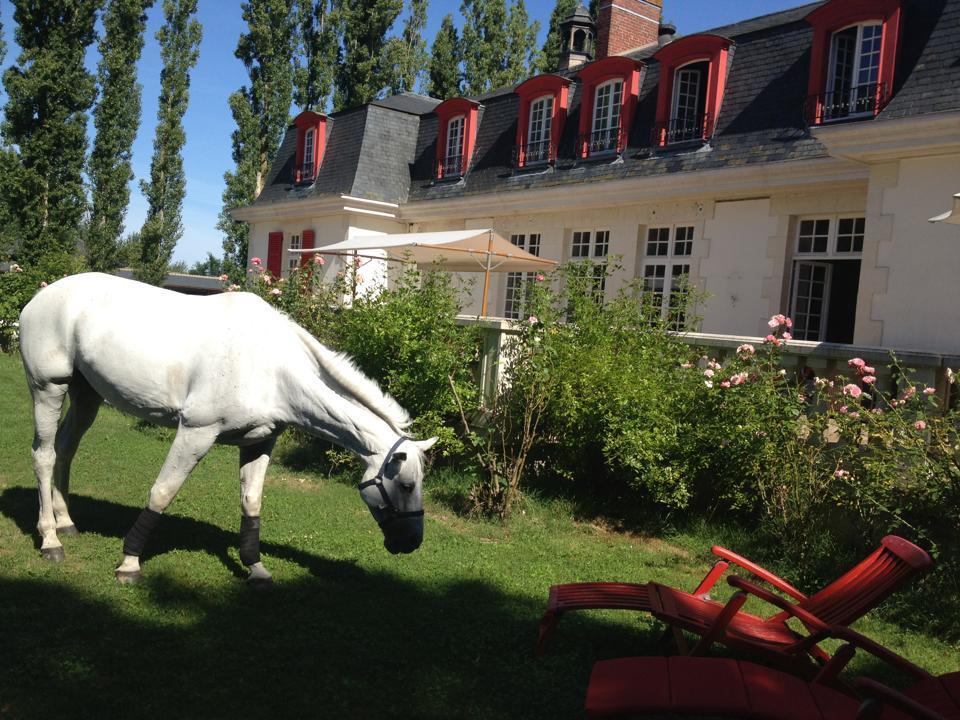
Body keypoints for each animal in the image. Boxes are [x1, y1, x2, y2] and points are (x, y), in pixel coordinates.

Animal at [18, 272, 438, 584]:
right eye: (406, 485)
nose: (412, 542)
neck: (272, 367)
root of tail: (38, 299)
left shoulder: (259, 443)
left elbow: (251, 502)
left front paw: (256, 568)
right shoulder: (195, 433)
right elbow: (162, 492)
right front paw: (129, 563)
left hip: (86, 396)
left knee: (66, 450)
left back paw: (67, 522)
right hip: (48, 389)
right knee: (44, 455)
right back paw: (51, 540)